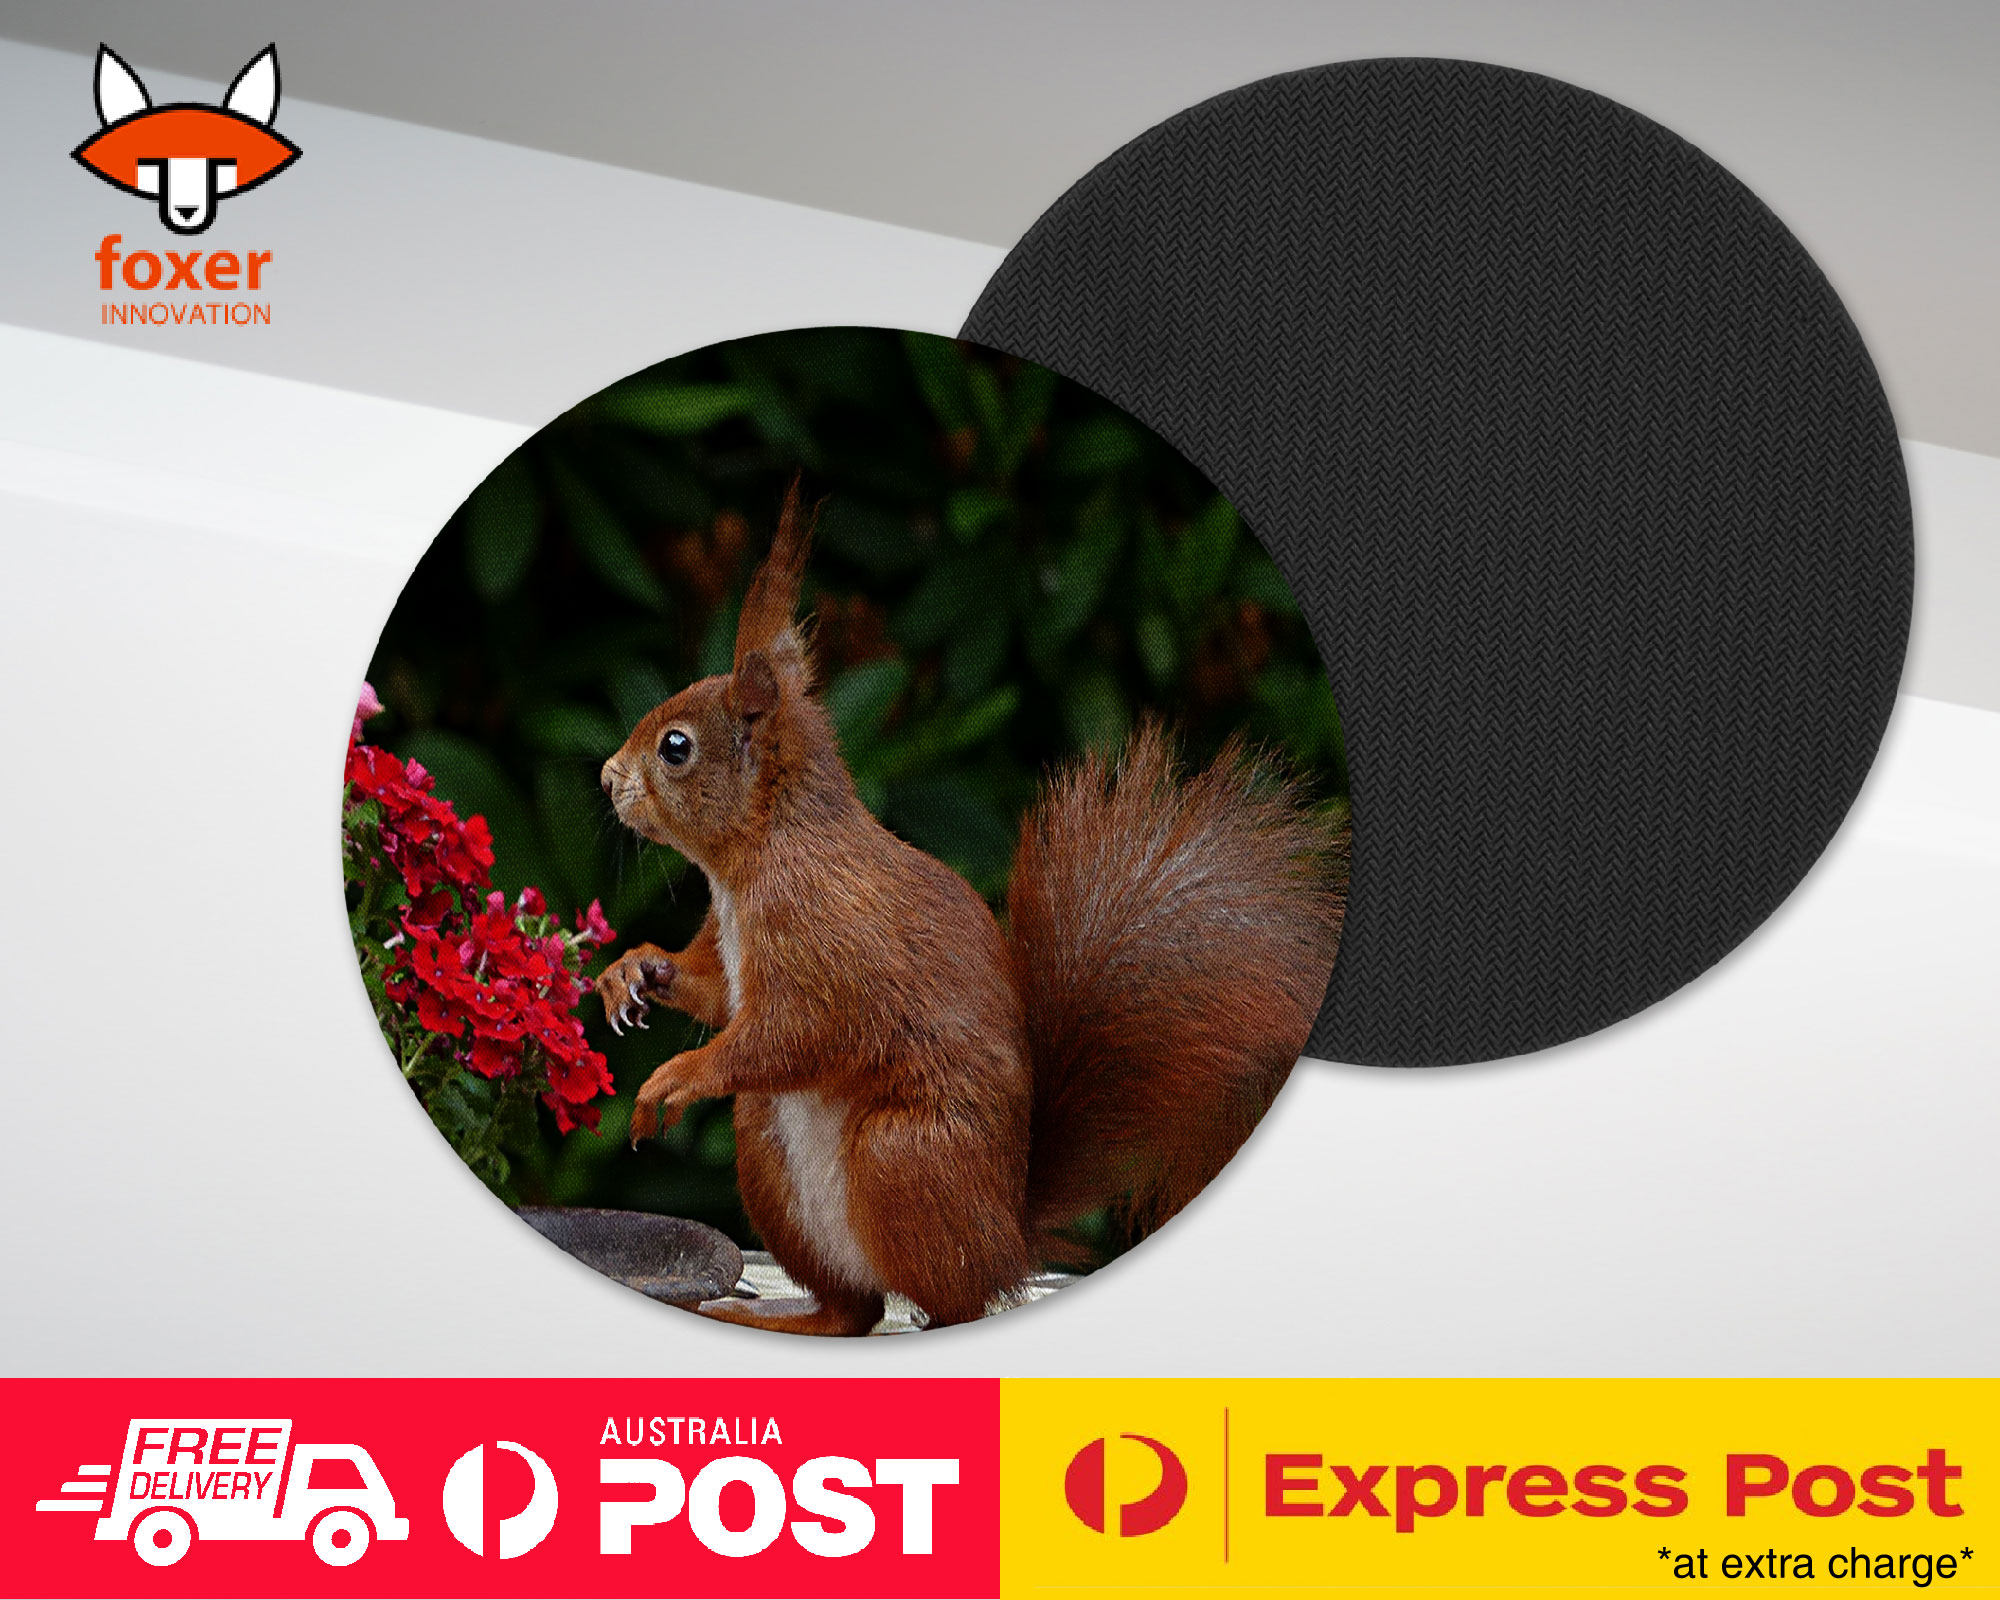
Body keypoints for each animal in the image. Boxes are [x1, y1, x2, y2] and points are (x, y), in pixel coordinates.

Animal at [594, 483, 1345, 1335]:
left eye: (676, 748)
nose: (606, 776)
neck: (753, 859)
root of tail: (1007, 1241)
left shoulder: (826, 933)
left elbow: (801, 1029)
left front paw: (677, 1076)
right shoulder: (733, 950)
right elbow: (717, 993)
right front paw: (633, 972)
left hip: (902, 1157)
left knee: (948, 1302)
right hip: (767, 1144)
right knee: (852, 1310)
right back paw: (776, 1317)